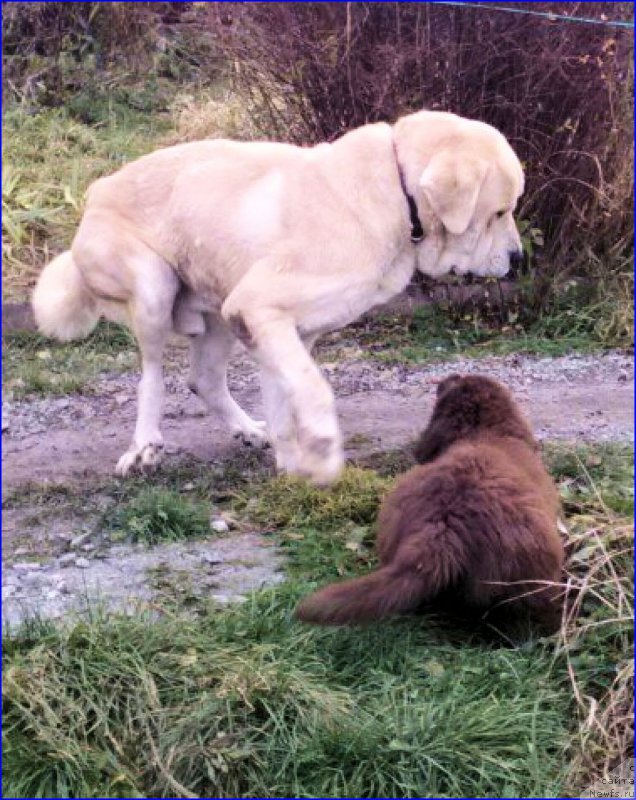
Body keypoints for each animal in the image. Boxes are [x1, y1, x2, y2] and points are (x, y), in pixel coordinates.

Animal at [32, 109, 524, 484]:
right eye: (500, 212)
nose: (519, 259)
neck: (396, 191)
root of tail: (95, 194)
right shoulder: (259, 311)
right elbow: (315, 391)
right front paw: (323, 453)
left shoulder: (280, 328)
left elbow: (285, 404)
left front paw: (291, 469)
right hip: (155, 289)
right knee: (152, 376)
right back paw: (144, 447)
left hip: (219, 313)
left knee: (202, 379)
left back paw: (249, 431)